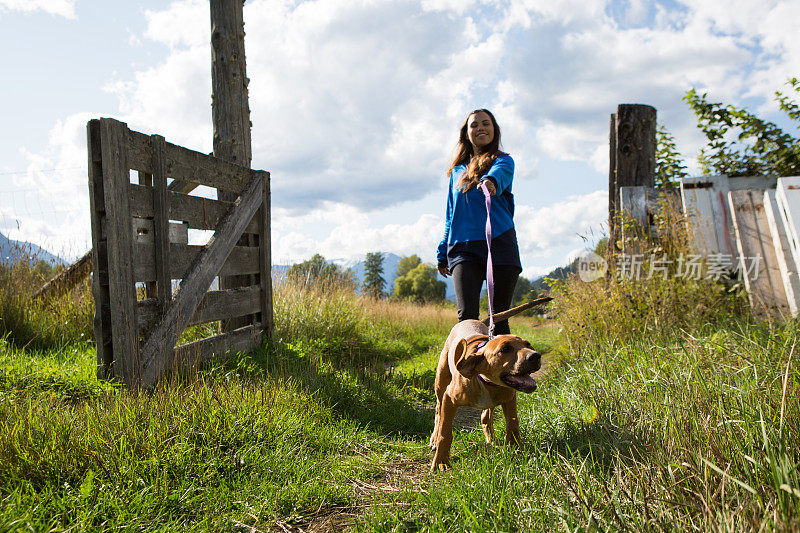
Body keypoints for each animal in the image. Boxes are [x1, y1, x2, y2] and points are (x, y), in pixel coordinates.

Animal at [432, 316, 544, 470]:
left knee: (486, 417)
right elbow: (445, 433)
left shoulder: (510, 399)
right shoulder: (449, 399)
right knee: (438, 410)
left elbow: (513, 425)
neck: (484, 380)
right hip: (441, 381)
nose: (536, 356)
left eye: (528, 344)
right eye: (505, 349)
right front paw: (441, 462)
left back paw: (491, 441)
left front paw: (516, 451)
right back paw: (434, 440)